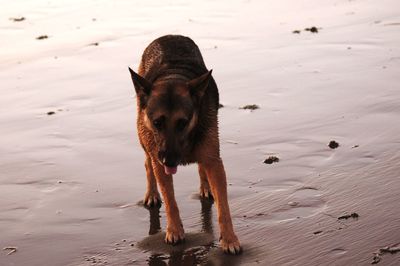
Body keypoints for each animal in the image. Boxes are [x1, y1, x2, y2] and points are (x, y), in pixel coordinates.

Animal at [129, 34, 241, 255]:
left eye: (183, 122)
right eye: (157, 123)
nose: (169, 160)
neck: (173, 78)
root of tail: (168, 36)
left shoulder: (214, 161)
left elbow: (223, 206)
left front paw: (229, 238)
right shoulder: (160, 161)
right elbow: (170, 200)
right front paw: (174, 230)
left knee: (201, 166)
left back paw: (205, 187)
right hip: (144, 140)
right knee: (148, 163)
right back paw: (152, 194)